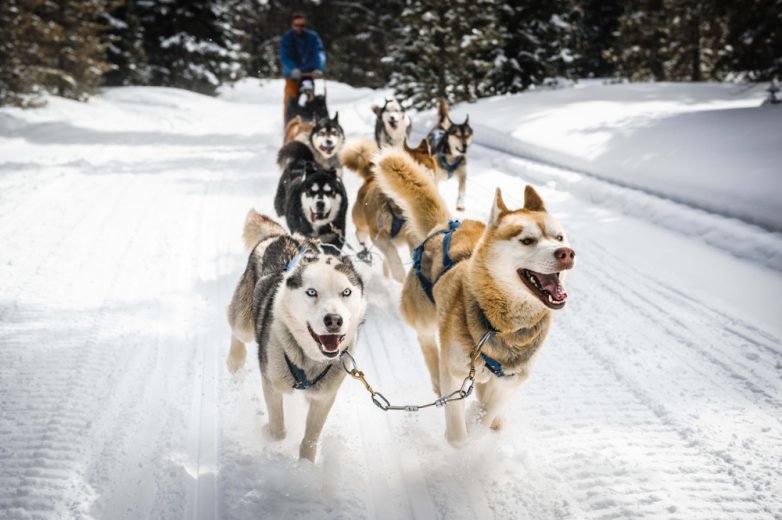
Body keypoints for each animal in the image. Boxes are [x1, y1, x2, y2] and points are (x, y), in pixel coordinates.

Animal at [227, 209, 368, 462]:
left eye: (346, 292)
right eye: (312, 292)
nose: (334, 320)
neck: (308, 359)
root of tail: (284, 236)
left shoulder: (324, 397)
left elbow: (311, 438)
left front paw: (306, 465)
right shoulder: (271, 381)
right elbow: (278, 430)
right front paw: (268, 431)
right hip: (244, 321)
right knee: (236, 328)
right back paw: (235, 360)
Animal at [342, 136, 438, 282]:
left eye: (423, 167)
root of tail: (370, 178)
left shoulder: (413, 236)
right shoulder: (377, 233)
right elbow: (390, 251)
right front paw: (399, 273)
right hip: (362, 226)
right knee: (362, 237)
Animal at [374, 150, 576, 446]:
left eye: (559, 237)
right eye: (527, 240)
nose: (566, 253)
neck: (498, 327)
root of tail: (447, 225)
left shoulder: (511, 379)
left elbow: (488, 409)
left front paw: (483, 419)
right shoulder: (455, 371)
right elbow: (459, 436)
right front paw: (465, 431)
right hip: (424, 315)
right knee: (427, 343)